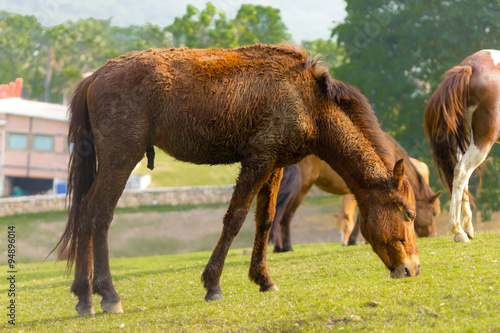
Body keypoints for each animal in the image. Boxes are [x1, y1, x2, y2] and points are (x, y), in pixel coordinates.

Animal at [55, 44, 422, 314]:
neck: (307, 100)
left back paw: (83, 296)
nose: (413, 269)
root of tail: (95, 76)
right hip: (120, 158)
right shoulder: (257, 160)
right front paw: (213, 283)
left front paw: (263, 278)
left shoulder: (274, 165)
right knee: (99, 215)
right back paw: (107, 294)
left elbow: (265, 220)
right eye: (409, 214)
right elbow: (235, 218)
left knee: (84, 213)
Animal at [424, 48, 500, 241]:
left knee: (461, 172)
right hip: (482, 141)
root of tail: (470, 66)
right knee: (462, 171)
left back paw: (466, 227)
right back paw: (457, 230)